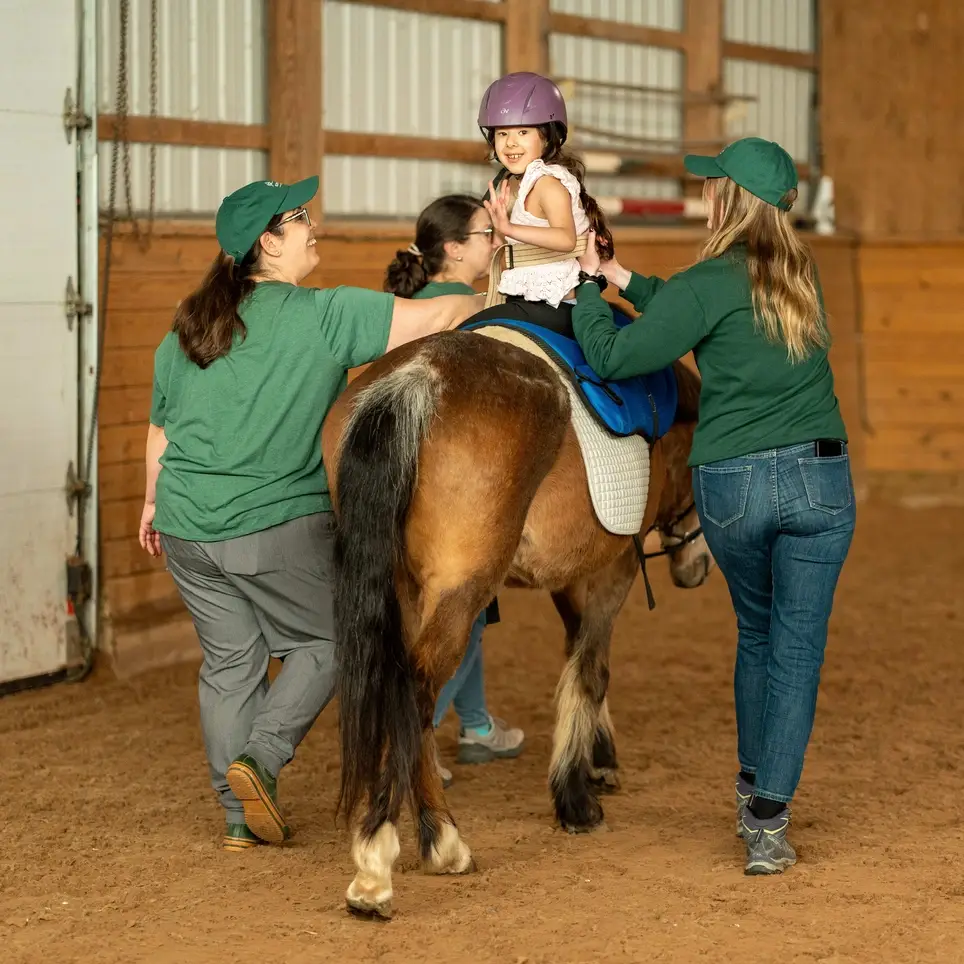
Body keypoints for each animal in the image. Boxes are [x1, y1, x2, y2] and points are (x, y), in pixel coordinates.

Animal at [319, 325, 712, 919]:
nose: (697, 567)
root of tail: (416, 377)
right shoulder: (613, 568)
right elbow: (592, 670)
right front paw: (575, 799)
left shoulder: (567, 578)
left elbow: (576, 656)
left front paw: (596, 758)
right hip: (459, 590)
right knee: (414, 690)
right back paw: (392, 860)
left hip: (405, 590)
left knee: (408, 696)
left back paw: (434, 836)